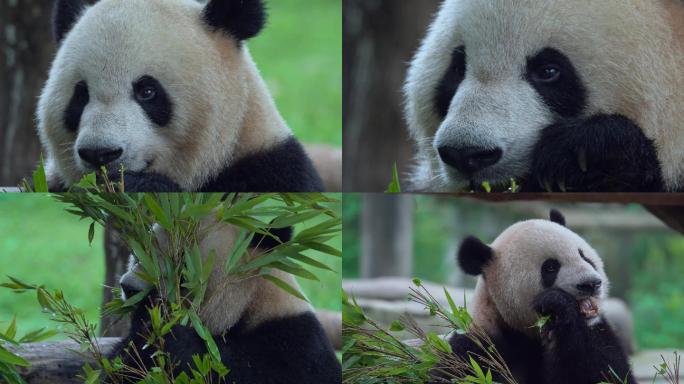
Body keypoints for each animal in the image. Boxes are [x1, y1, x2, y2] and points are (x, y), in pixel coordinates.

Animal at [110, 218, 342, 382]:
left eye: (181, 263)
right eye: (139, 255)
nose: (129, 288)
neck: (251, 305)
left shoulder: (296, 345)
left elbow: (228, 368)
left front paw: (172, 338)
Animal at [432, 212, 636, 382]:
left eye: (584, 256)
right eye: (550, 267)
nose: (591, 284)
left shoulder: (598, 331)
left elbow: (607, 372)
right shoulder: (476, 347)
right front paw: (557, 303)